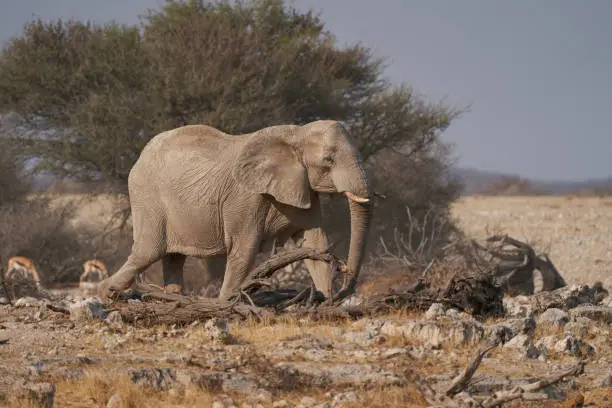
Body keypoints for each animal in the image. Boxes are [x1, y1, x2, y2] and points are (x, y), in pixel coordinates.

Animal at [98, 119, 370, 302]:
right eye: (329, 160)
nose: (344, 273)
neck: (297, 133)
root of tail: (140, 156)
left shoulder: (305, 190)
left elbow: (315, 245)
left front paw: (325, 304)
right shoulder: (245, 196)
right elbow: (244, 249)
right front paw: (225, 304)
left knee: (173, 258)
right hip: (147, 196)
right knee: (148, 251)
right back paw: (105, 293)